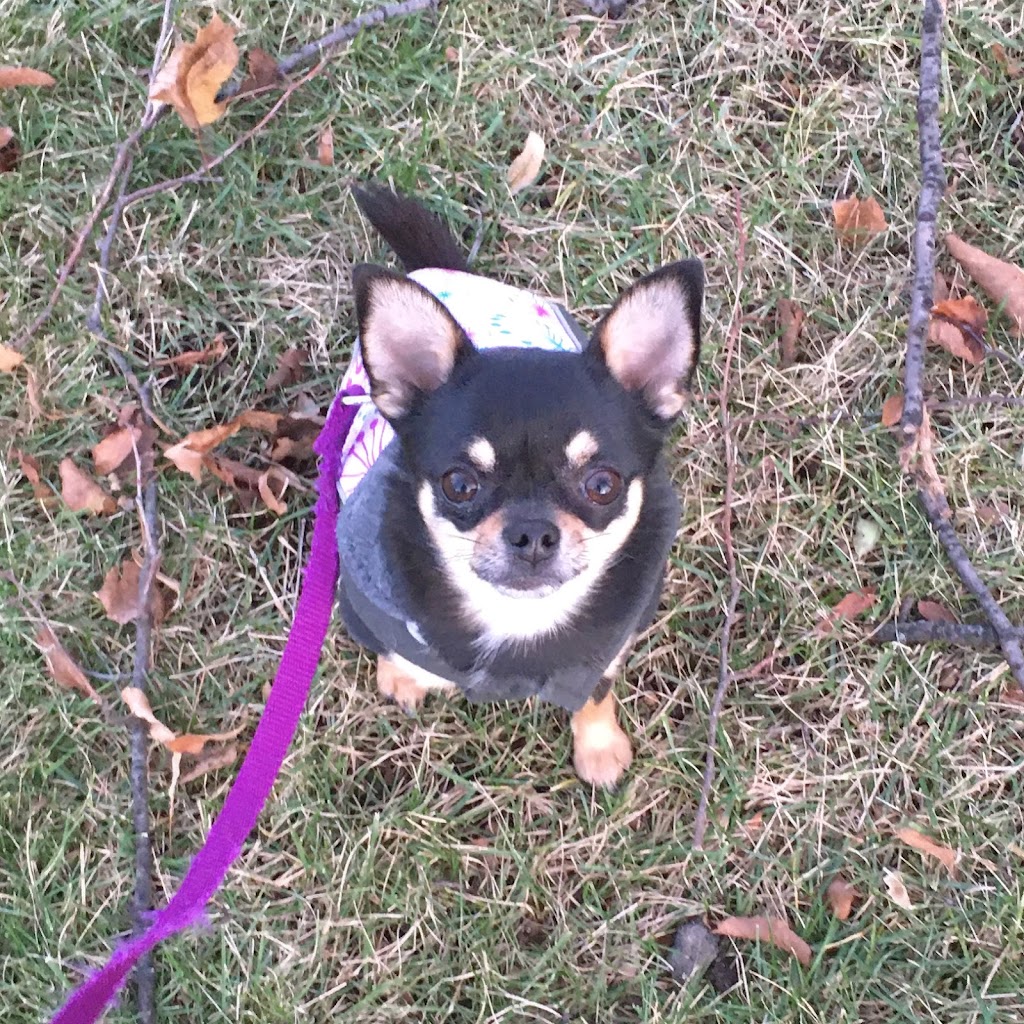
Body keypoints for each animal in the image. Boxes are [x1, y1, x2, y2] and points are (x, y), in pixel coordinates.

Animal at [335, 185, 703, 788]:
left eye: (602, 484)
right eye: (460, 484)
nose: (532, 533)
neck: (517, 620)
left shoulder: (603, 651)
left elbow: (596, 693)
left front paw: (599, 749)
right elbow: (392, 653)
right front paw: (404, 677)